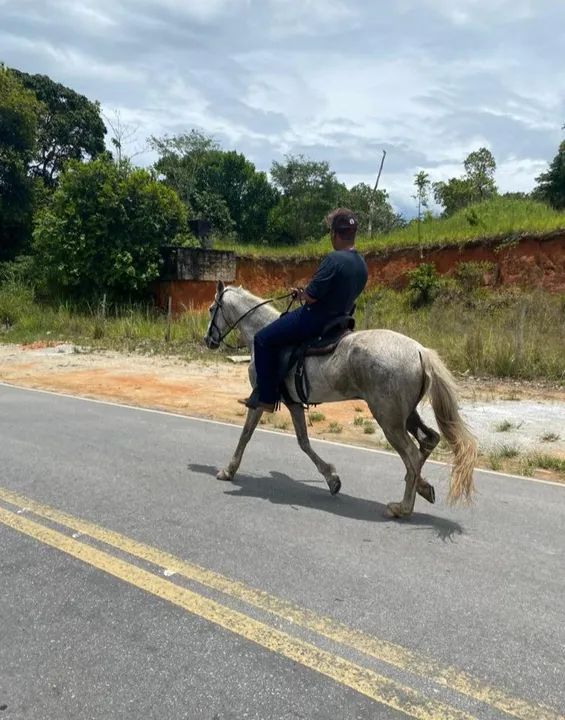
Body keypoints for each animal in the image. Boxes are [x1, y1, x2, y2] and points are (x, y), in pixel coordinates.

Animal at [204, 281, 477, 518]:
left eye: (211, 308)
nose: (208, 340)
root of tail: (420, 350)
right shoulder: (294, 403)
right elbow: (304, 442)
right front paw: (331, 479)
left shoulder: (261, 399)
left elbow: (246, 434)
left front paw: (228, 470)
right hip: (406, 415)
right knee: (428, 442)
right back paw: (422, 487)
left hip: (388, 419)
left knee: (411, 455)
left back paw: (402, 508)